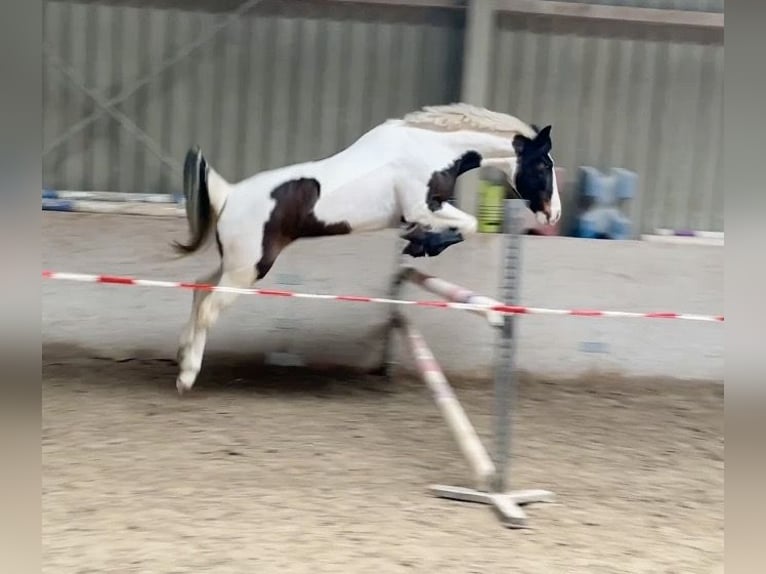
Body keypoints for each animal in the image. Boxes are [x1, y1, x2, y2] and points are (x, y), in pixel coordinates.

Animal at [172, 103, 560, 394]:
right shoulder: (421, 207)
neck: (432, 150)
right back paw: (187, 376)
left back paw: (181, 353)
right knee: (208, 309)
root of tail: (229, 194)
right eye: (543, 164)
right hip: (247, 269)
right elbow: (468, 224)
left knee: (198, 289)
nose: (553, 214)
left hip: (233, 265)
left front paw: (420, 243)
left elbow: (456, 227)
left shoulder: (417, 213)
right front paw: (426, 244)